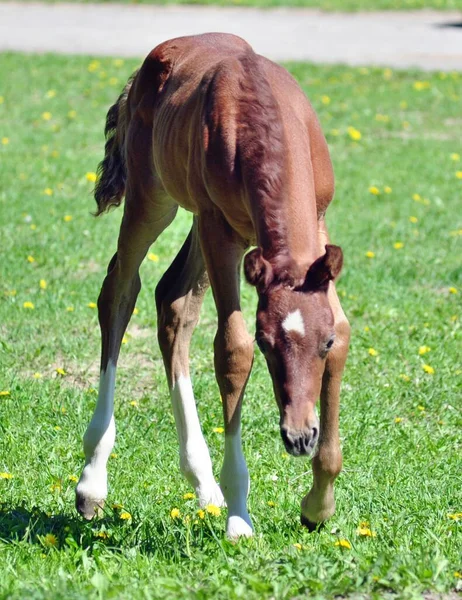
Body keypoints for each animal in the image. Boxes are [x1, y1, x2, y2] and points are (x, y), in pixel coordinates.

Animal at [76, 32, 350, 540]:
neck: (262, 118)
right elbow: (231, 351)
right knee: (119, 291)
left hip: (204, 229)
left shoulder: (316, 227)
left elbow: (344, 330)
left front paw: (318, 505)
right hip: (156, 200)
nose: (298, 437)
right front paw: (240, 515)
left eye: (321, 345)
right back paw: (93, 481)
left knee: (173, 301)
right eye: (267, 344)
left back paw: (203, 484)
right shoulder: (220, 232)